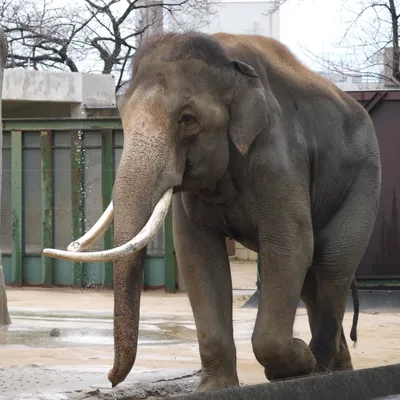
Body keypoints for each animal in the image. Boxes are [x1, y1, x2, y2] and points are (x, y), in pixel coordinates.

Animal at [43, 32, 382, 394]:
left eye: (188, 119)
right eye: (120, 114)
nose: (110, 378)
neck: (228, 60)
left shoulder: (280, 159)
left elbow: (289, 246)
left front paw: (295, 363)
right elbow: (197, 255)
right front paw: (214, 389)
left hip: (364, 180)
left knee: (333, 262)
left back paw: (319, 368)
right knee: (311, 278)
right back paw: (336, 369)